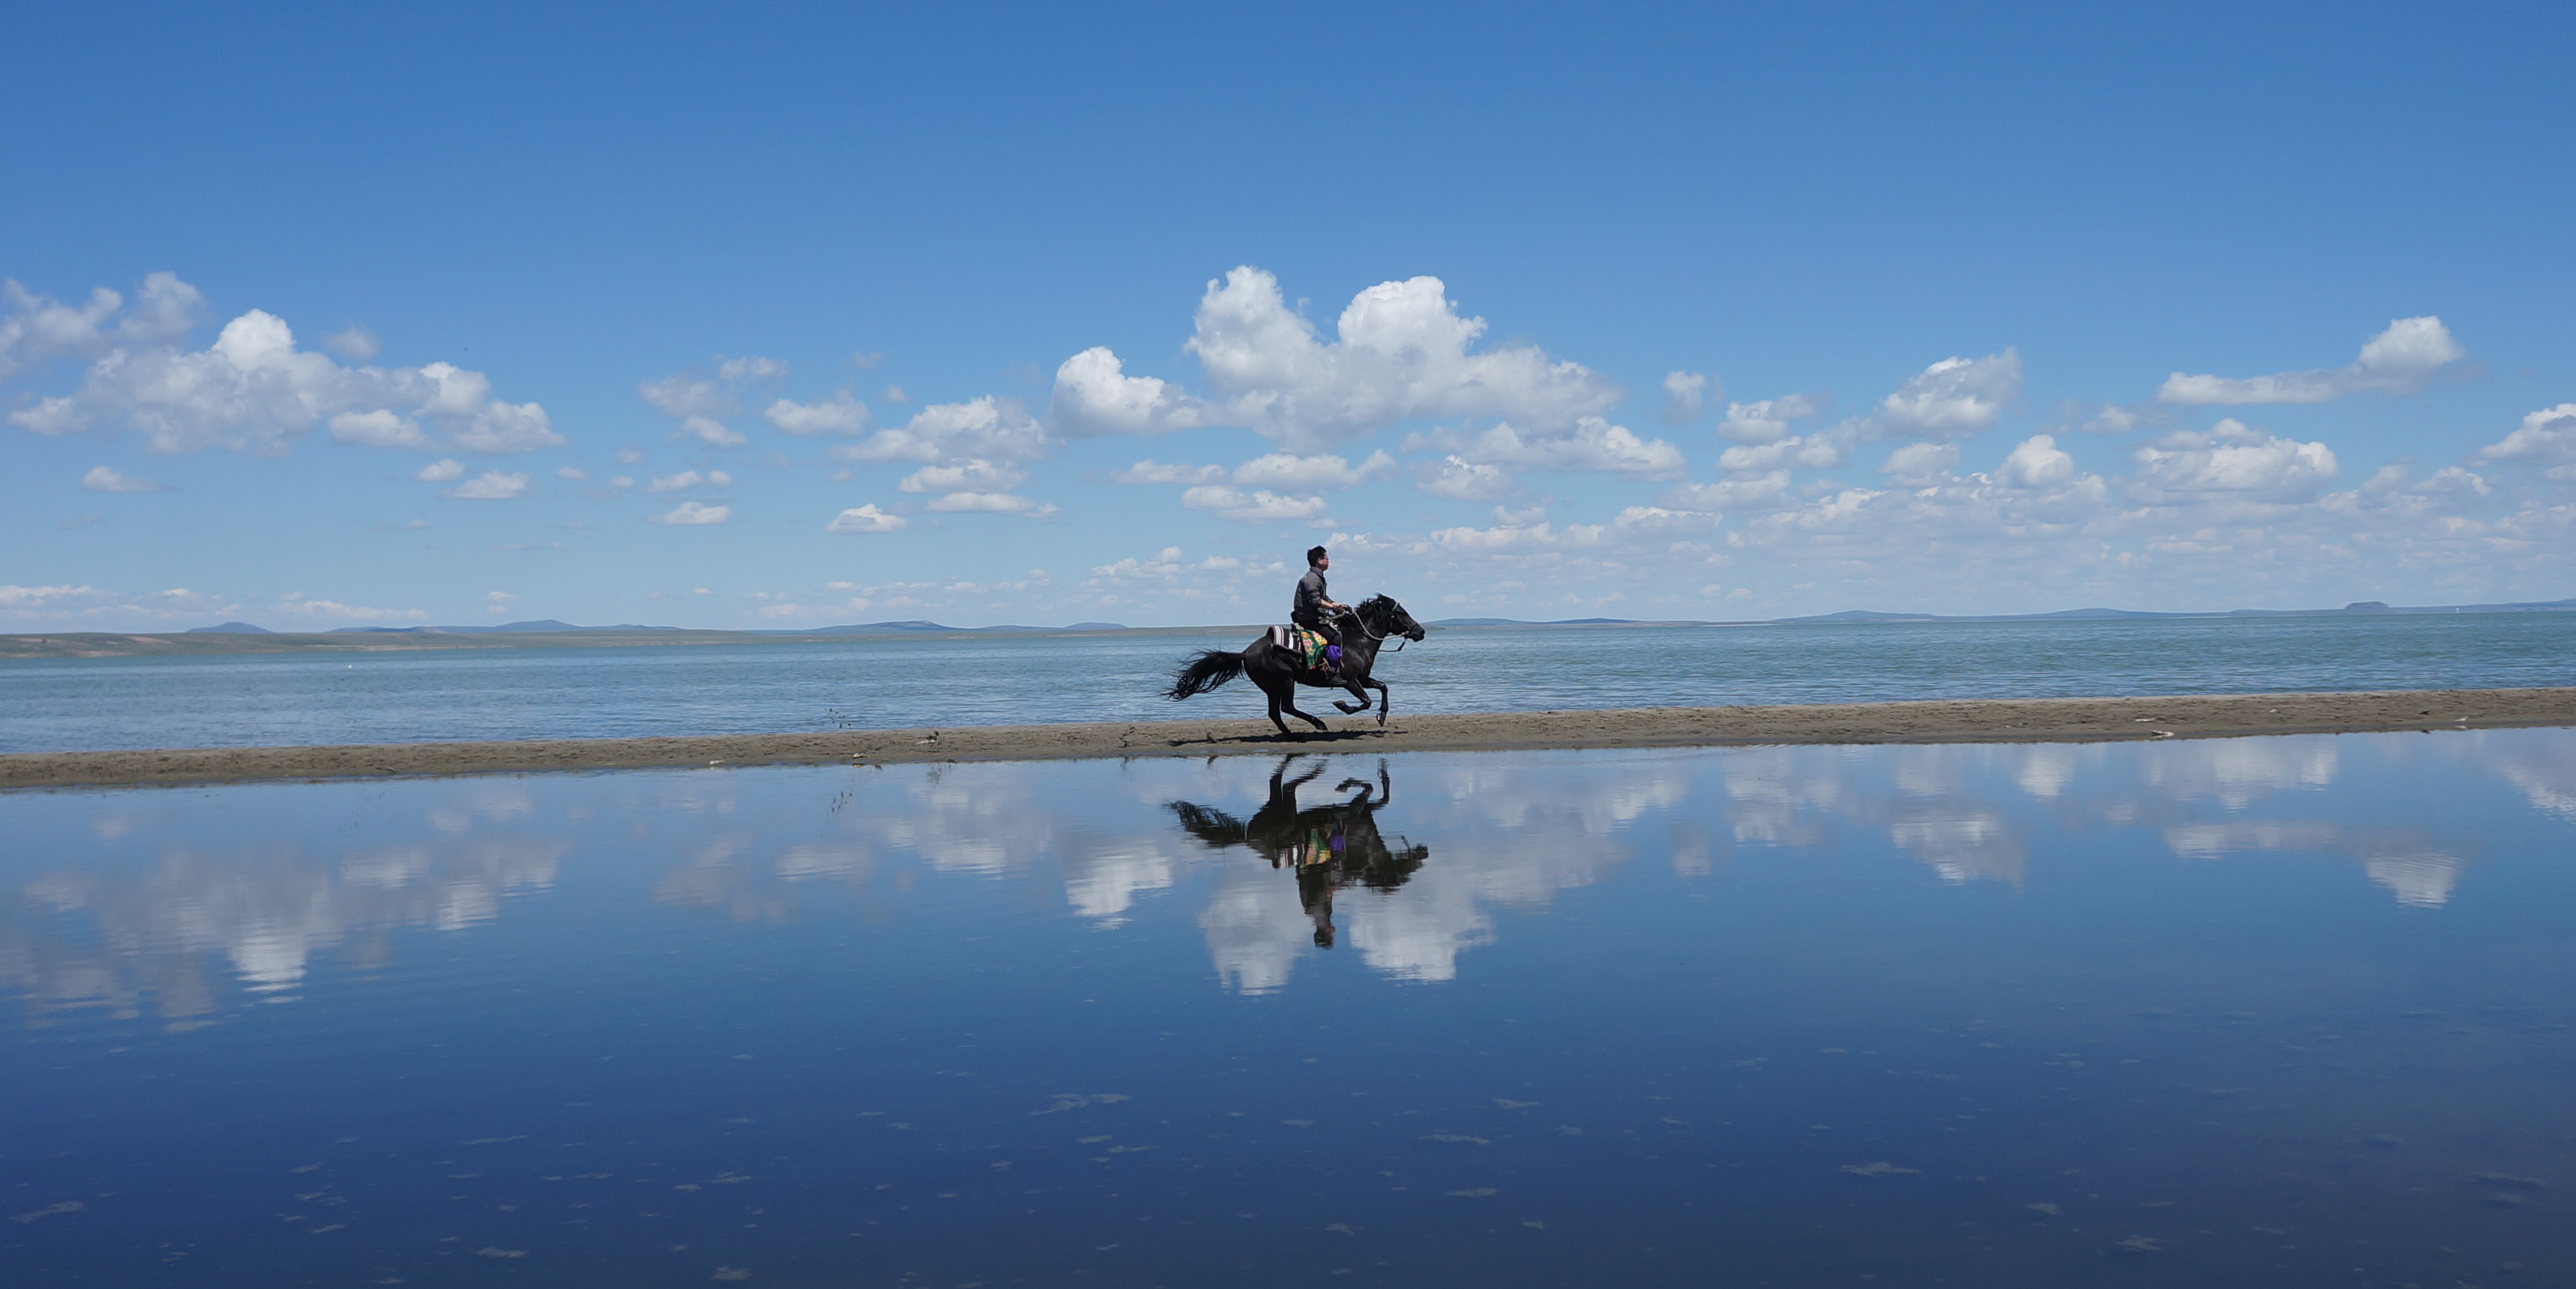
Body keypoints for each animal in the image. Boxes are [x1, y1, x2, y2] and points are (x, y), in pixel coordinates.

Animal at [1169, 591, 1432, 736]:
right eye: (1402, 613)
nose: (1421, 631)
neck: (1358, 640)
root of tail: (1244, 653)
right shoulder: (1350, 681)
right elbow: (1365, 701)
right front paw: (1342, 706)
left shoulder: (1363, 678)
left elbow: (1383, 688)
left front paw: (1382, 716)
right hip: (1285, 680)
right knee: (1286, 708)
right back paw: (1318, 724)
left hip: (1273, 687)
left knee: (1276, 713)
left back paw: (1293, 736)